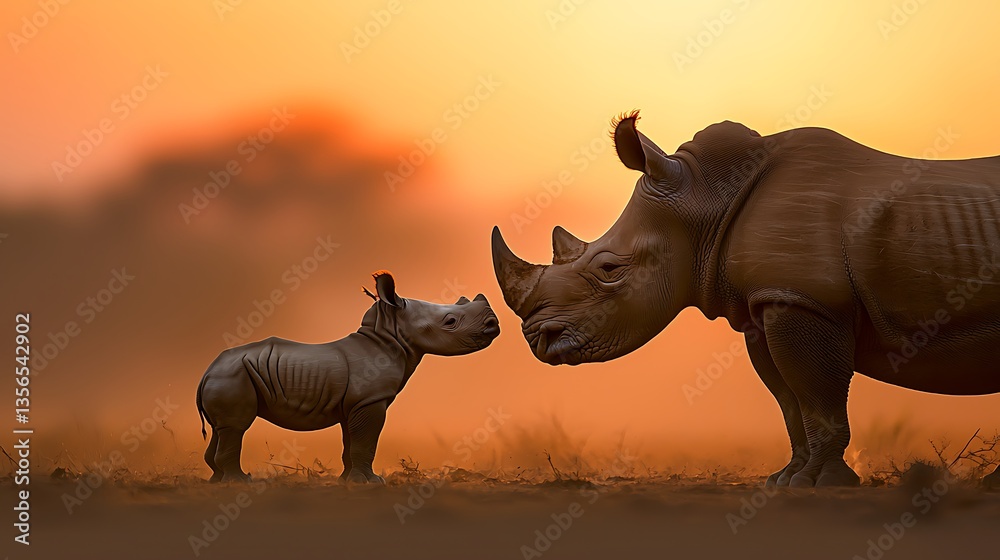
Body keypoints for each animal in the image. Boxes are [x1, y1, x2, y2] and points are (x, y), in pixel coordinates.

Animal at [196, 271, 500, 483]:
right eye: (450, 322)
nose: (493, 324)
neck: (389, 336)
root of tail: (207, 371)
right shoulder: (370, 400)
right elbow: (366, 441)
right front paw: (372, 482)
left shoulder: (353, 404)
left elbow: (351, 442)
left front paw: (349, 481)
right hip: (234, 375)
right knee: (236, 427)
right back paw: (240, 482)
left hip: (231, 374)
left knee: (221, 429)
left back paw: (218, 481)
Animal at [492, 111, 1000, 488]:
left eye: (609, 270)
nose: (537, 338)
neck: (706, 200)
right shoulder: (764, 306)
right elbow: (789, 401)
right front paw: (786, 479)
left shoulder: (804, 299)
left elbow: (816, 393)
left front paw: (823, 483)